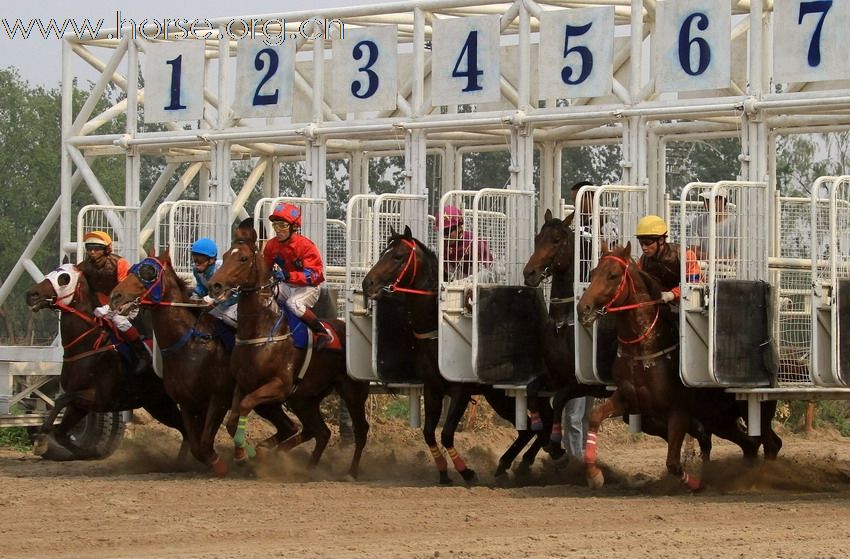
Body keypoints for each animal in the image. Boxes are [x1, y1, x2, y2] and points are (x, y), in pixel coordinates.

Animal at [25, 264, 186, 462]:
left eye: (64, 278)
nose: (31, 294)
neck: (89, 346)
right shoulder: (80, 405)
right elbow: (62, 433)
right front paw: (90, 451)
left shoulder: (100, 398)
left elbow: (61, 400)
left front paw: (41, 438)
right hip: (159, 404)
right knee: (186, 430)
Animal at [109, 254, 240, 476]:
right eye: (131, 270)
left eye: (148, 273)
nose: (115, 295)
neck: (190, 344)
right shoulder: (188, 401)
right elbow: (197, 446)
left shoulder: (219, 397)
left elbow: (205, 443)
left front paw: (221, 466)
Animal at [207, 221, 370, 480]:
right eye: (225, 255)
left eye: (243, 258)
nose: (215, 285)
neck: (261, 331)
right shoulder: (244, 383)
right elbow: (232, 421)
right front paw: (248, 453)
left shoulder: (279, 385)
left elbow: (245, 406)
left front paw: (249, 453)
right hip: (304, 398)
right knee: (320, 431)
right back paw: (307, 468)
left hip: (352, 391)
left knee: (360, 430)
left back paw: (351, 472)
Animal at [356, 228, 548, 486]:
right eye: (382, 253)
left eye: (398, 256)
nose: (368, 283)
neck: (435, 334)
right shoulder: (432, 388)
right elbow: (428, 433)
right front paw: (443, 472)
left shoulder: (460, 390)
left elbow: (446, 433)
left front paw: (466, 472)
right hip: (497, 394)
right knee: (531, 429)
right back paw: (514, 464)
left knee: (539, 425)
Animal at [572, 245, 780, 490]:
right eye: (593, 272)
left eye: (613, 275)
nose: (583, 308)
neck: (645, 350)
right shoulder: (628, 399)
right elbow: (595, 417)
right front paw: (594, 475)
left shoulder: (679, 410)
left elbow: (673, 462)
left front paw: (698, 483)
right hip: (721, 418)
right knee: (750, 444)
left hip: (752, 410)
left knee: (771, 444)